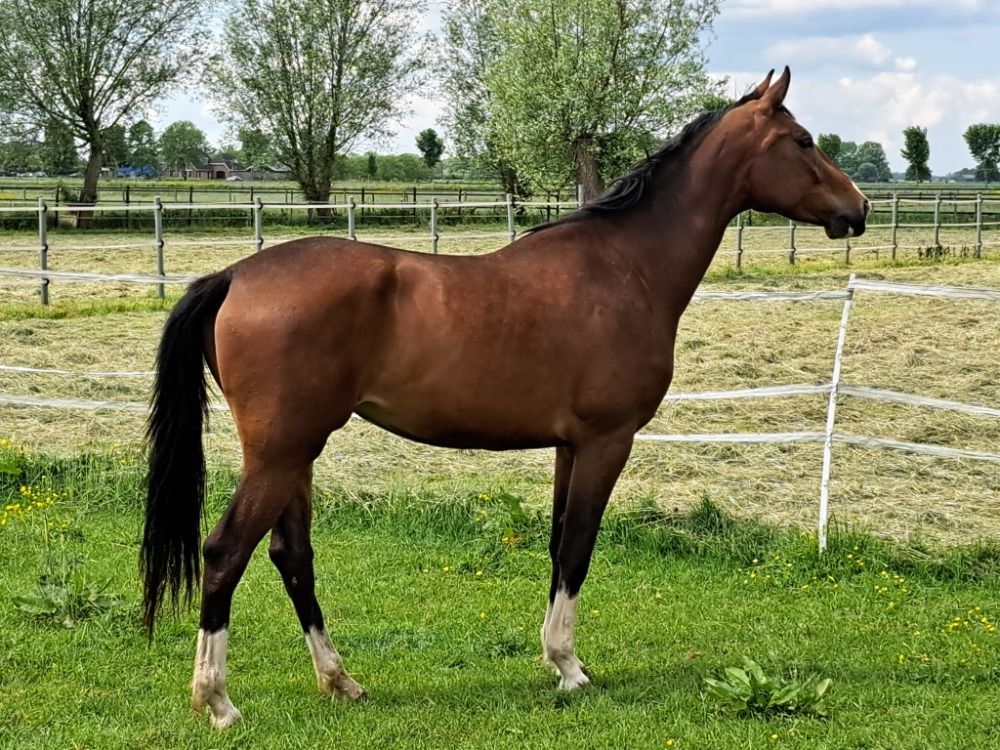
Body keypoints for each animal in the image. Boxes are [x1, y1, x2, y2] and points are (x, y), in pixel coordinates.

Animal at [141, 67, 868, 728]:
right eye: (802, 141)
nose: (856, 209)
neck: (628, 265)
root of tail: (235, 276)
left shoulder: (569, 447)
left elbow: (556, 545)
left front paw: (556, 658)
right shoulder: (606, 441)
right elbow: (578, 548)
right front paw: (569, 667)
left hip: (295, 454)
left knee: (292, 557)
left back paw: (340, 682)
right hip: (280, 453)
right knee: (224, 554)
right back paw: (218, 701)